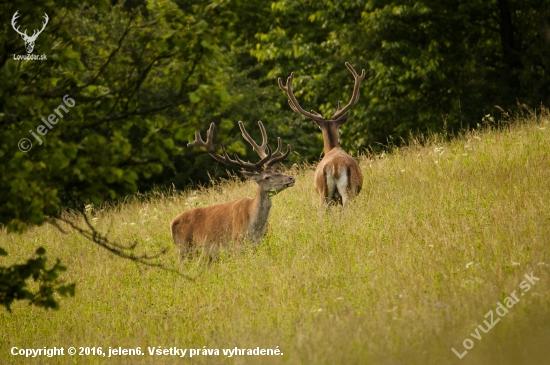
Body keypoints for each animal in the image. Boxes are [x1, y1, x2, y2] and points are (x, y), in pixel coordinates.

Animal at [170, 120, 296, 253]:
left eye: (276, 171)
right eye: (267, 177)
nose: (291, 178)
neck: (254, 227)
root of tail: (172, 223)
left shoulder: (257, 244)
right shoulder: (237, 243)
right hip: (184, 248)